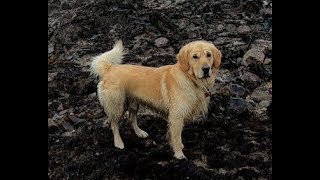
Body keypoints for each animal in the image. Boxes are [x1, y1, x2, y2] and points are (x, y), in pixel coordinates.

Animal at [89, 39, 221, 159]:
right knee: (114, 124)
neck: (190, 79)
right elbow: (176, 137)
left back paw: (140, 133)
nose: (206, 69)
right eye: (195, 57)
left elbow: (177, 135)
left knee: (132, 119)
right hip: (117, 105)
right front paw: (179, 154)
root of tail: (109, 68)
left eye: (209, 55)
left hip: (133, 103)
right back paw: (118, 143)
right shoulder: (176, 116)